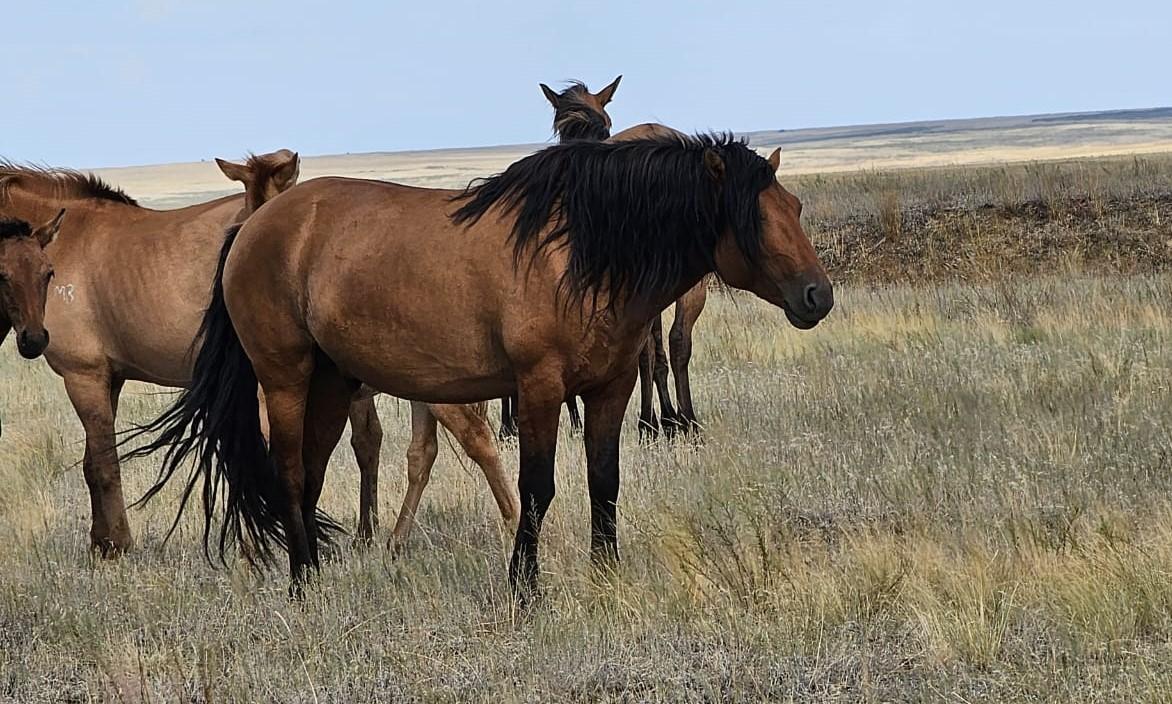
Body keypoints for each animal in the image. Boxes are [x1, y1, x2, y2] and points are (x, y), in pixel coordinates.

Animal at [216, 149, 518, 543]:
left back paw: (513, 519)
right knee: (424, 453)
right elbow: (368, 443)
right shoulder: (357, 398)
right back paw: (398, 538)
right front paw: (366, 530)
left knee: (475, 438)